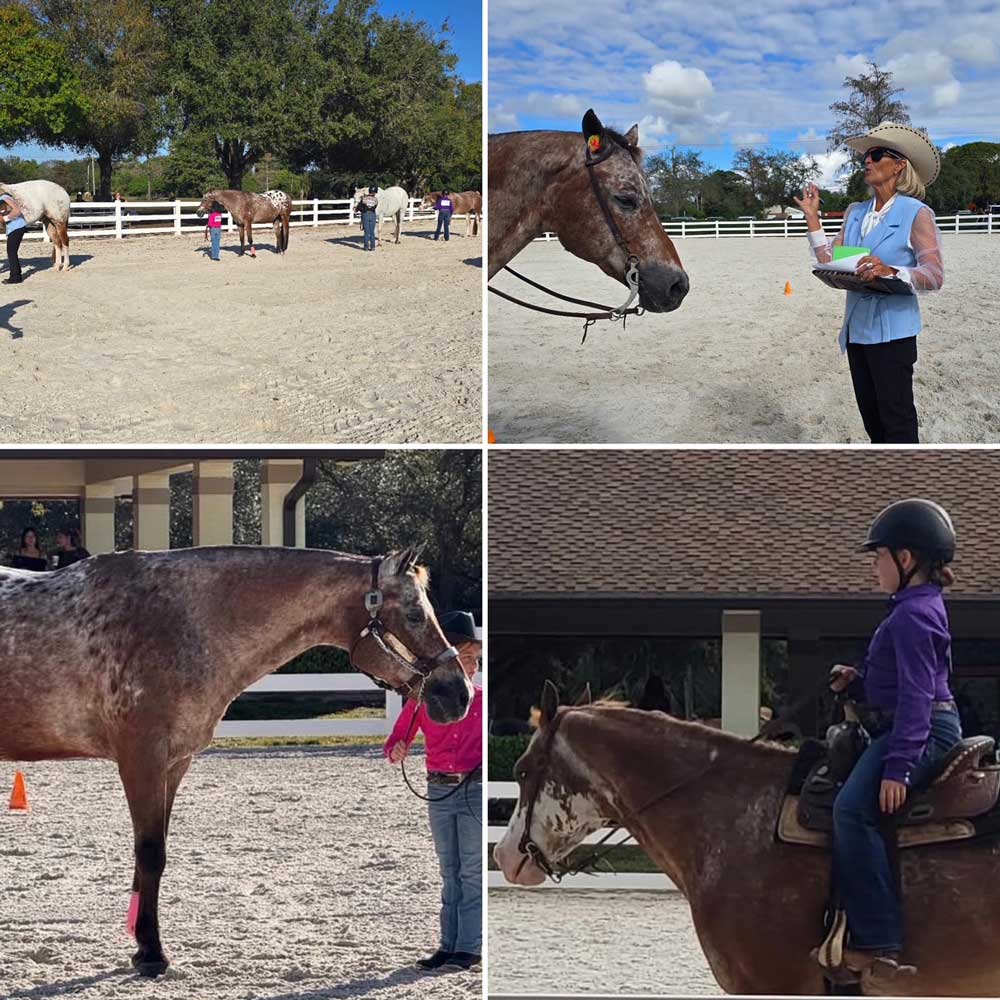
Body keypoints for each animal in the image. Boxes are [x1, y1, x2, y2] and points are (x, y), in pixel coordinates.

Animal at [0, 545, 472, 977]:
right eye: (414, 613)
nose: (459, 694)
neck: (181, 621)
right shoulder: (141, 759)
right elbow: (150, 853)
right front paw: (152, 955)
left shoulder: (174, 764)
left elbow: (155, 855)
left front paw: (141, 946)